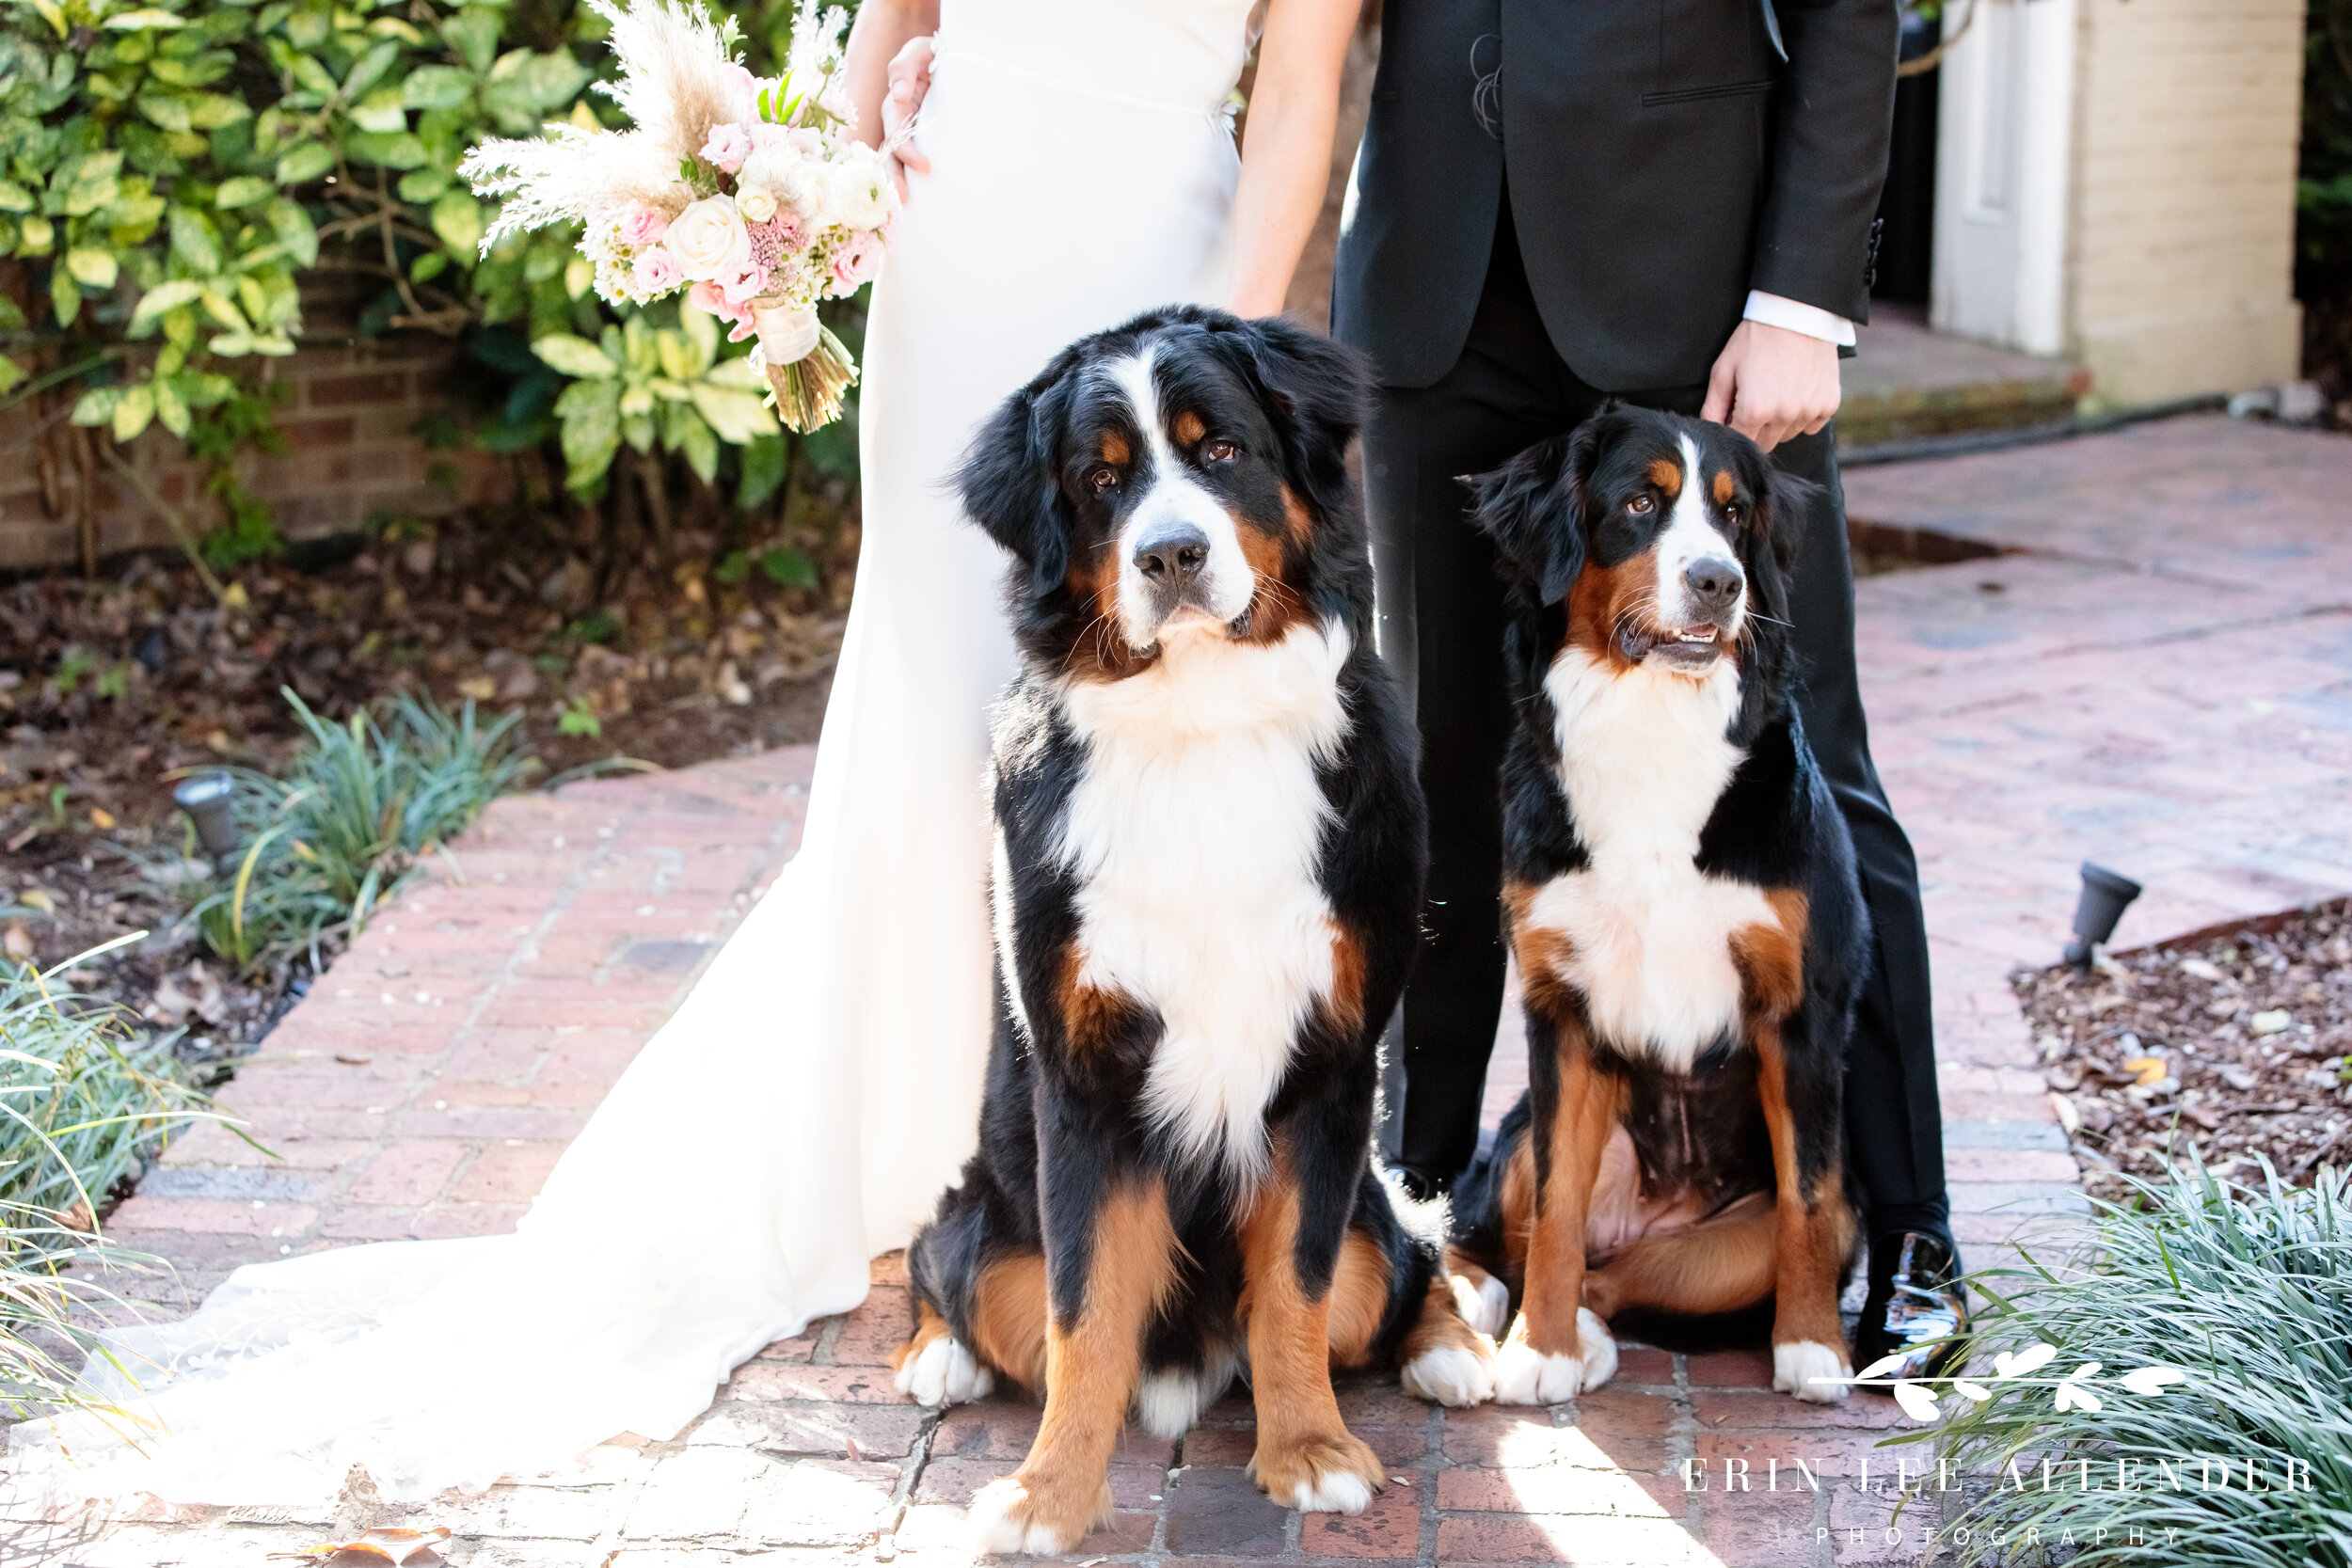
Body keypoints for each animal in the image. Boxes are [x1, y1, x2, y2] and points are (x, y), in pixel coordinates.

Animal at [889, 309, 1496, 1560]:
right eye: (1100, 481)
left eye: (1219, 450)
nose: (1168, 553)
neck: (1201, 718)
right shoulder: (1083, 1077)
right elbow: (1083, 1309)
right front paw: (1049, 1492)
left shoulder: (1331, 1061)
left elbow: (1297, 1285)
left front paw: (1308, 1447)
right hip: (990, 1231)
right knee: (949, 1265)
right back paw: (937, 1355)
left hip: (1376, 1223)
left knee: (1398, 1262)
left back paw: (1453, 1350)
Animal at [1439, 404, 1863, 1410]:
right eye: (1640, 502)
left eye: (1735, 512)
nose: (1720, 581)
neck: (1650, 720)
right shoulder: (1560, 1007)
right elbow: (1556, 1207)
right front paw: (1540, 1348)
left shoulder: (1801, 1008)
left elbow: (1809, 1197)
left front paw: (1813, 1347)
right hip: (1522, 1130)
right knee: (1497, 1234)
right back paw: (1485, 1300)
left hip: (1738, 1243)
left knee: (1623, 1277)